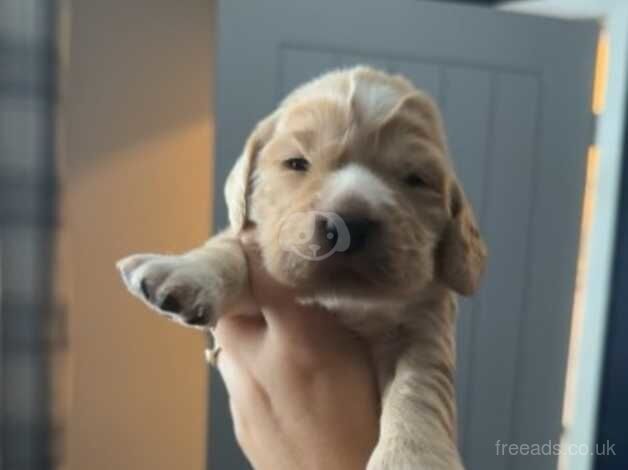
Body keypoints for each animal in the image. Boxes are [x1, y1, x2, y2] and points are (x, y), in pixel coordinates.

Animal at [116, 66, 486, 470]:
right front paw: (186, 271)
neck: (341, 300)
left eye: (416, 179)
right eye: (296, 163)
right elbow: (232, 246)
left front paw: (411, 458)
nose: (349, 224)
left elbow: (420, 384)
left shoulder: (425, 322)